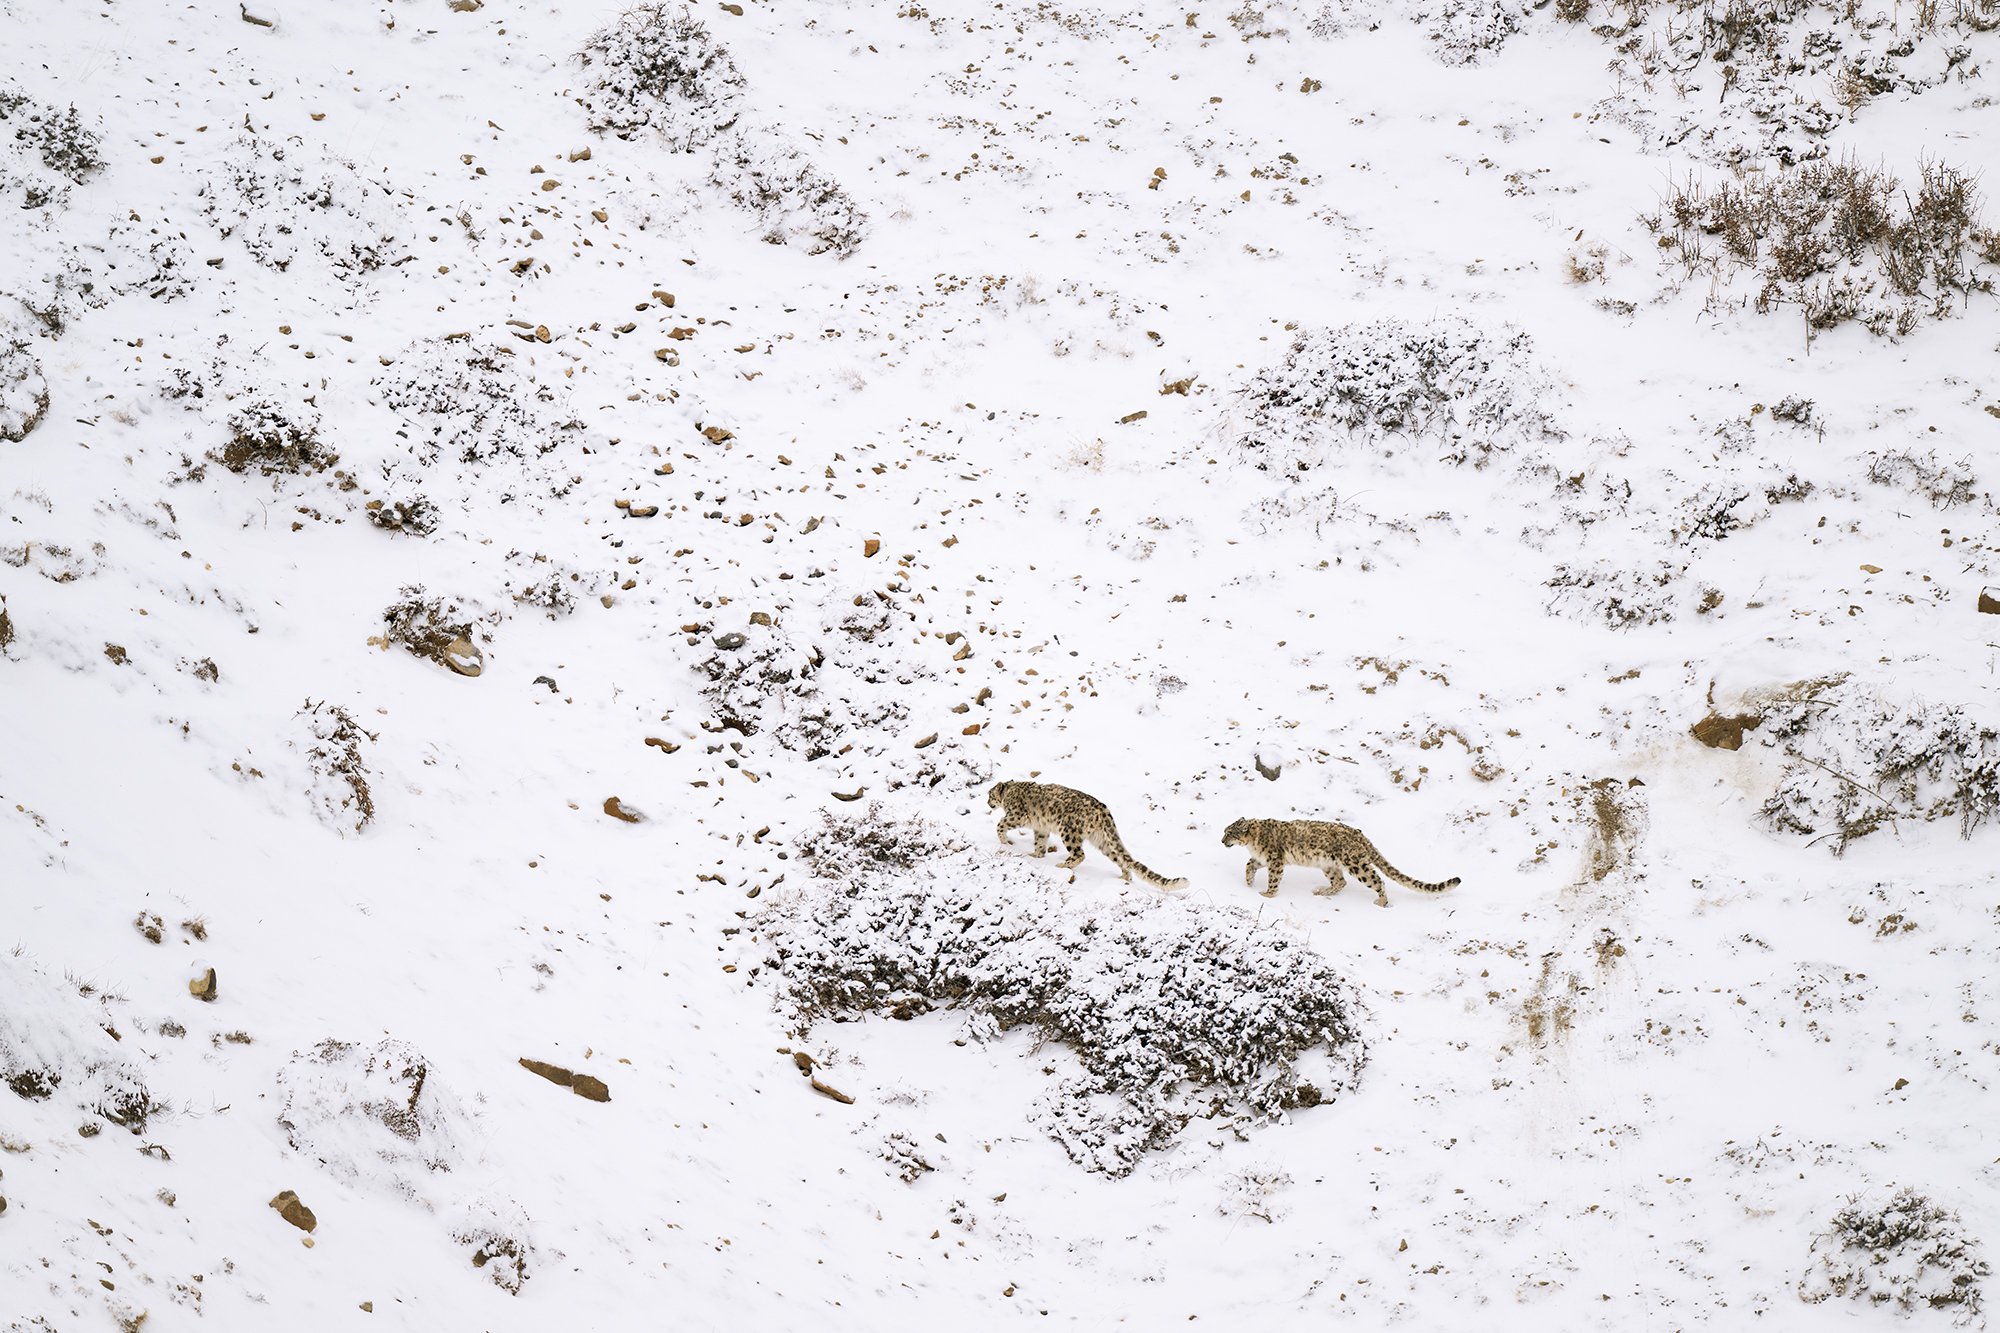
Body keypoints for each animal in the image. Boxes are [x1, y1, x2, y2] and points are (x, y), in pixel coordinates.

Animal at [988, 780, 1187, 889]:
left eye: (990, 795)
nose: (987, 802)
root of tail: (1102, 809)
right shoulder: (1041, 829)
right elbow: (1040, 843)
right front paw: (1036, 855)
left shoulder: (1016, 815)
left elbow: (1001, 824)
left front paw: (1003, 840)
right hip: (1102, 840)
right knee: (1120, 858)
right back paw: (1124, 877)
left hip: (1068, 831)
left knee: (1079, 853)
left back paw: (1062, 865)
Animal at [1220, 817, 1459, 906]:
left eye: (1229, 832)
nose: (1222, 841)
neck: (1252, 842)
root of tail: (1362, 837)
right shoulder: (1261, 859)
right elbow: (1249, 865)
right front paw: (1249, 883)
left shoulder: (1274, 861)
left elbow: (1273, 879)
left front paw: (1267, 894)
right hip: (1329, 865)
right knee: (1340, 882)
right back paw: (1322, 891)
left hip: (1356, 865)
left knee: (1376, 879)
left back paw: (1381, 901)